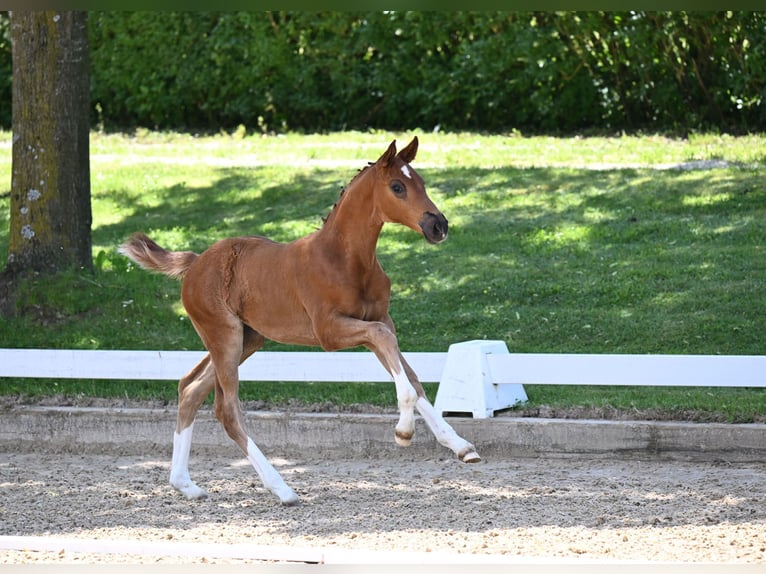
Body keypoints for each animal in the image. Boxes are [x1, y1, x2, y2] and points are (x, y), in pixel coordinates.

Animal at [119, 137, 480, 506]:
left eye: (421, 182)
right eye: (397, 187)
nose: (439, 226)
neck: (344, 259)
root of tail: (194, 263)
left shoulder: (379, 320)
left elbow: (411, 375)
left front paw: (461, 446)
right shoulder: (331, 332)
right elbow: (391, 353)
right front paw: (403, 431)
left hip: (247, 339)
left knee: (190, 388)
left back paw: (185, 484)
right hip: (225, 336)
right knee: (226, 409)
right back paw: (282, 488)